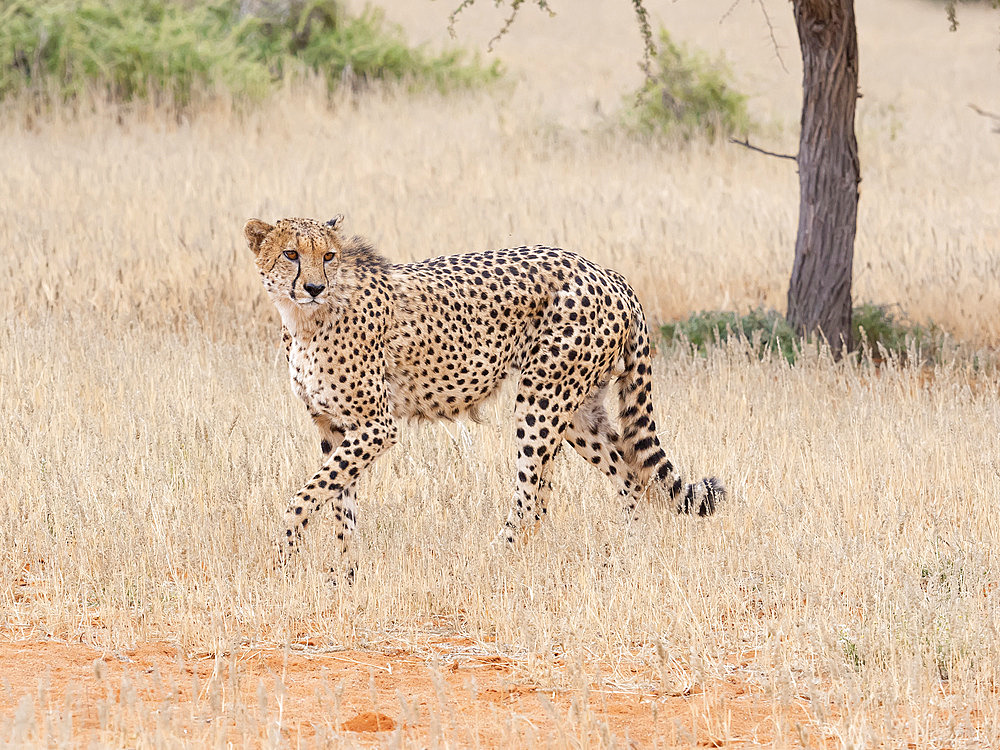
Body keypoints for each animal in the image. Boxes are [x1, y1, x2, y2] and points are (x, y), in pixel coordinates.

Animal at [245, 217, 724, 576]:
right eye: (291, 254)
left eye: (328, 256)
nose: (313, 288)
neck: (304, 320)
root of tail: (606, 271)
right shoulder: (334, 425)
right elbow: (339, 500)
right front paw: (344, 572)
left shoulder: (376, 426)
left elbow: (307, 494)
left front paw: (284, 557)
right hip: (578, 412)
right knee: (627, 474)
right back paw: (627, 550)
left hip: (541, 396)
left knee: (532, 496)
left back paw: (494, 555)